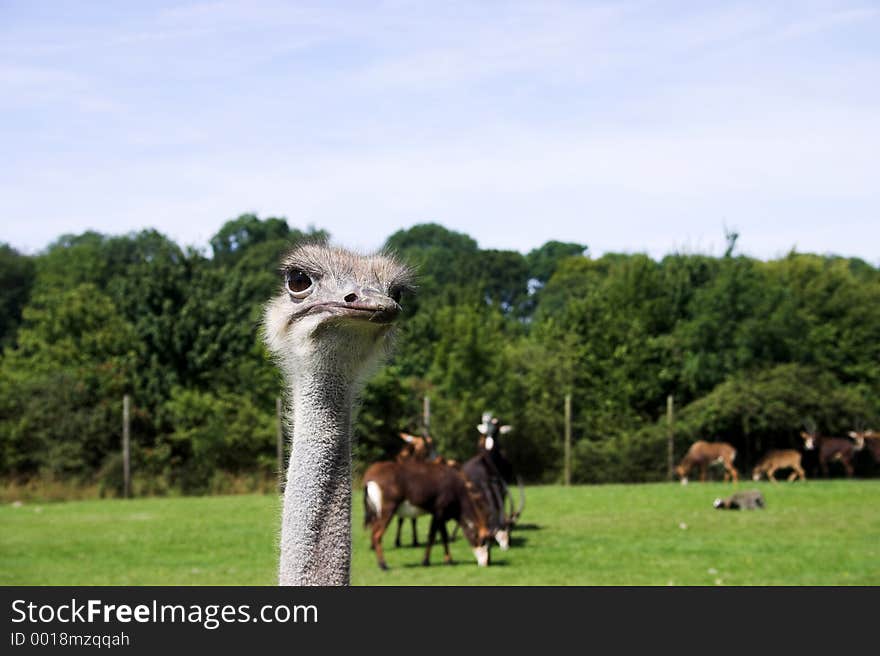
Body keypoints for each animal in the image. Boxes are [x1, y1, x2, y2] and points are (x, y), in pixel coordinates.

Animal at [360, 458, 492, 572]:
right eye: (483, 541)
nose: (485, 563)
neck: (455, 486)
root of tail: (370, 477)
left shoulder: (440, 515)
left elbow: (443, 536)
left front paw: (448, 560)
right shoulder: (439, 512)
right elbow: (433, 536)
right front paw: (426, 561)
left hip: (376, 514)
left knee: (373, 533)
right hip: (387, 511)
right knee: (377, 535)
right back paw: (383, 565)